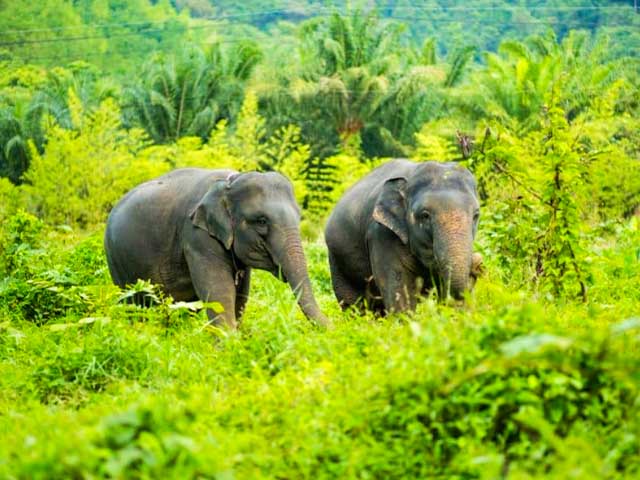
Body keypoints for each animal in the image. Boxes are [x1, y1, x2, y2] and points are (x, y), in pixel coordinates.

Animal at [105, 167, 330, 328]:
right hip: (117, 262)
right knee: (134, 305)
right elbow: (219, 291)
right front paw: (228, 347)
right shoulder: (196, 236)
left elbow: (240, 294)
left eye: (299, 217)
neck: (231, 182)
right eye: (261, 221)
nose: (333, 325)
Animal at [322, 159, 482, 314]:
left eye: (476, 215)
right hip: (337, 262)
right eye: (425, 215)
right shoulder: (381, 234)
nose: (477, 262)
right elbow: (398, 290)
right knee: (354, 306)